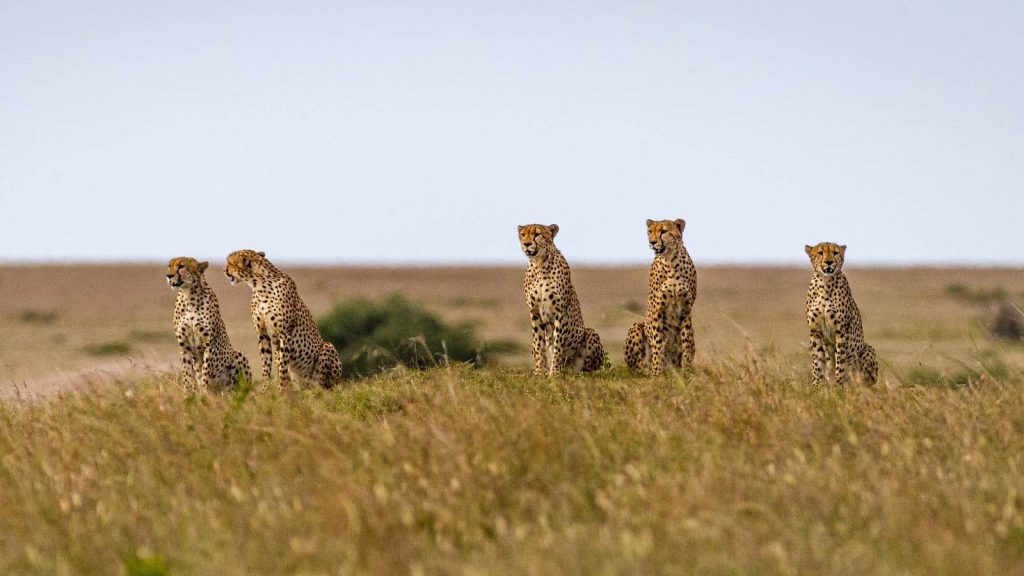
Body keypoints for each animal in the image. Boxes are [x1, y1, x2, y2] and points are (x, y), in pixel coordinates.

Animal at [166, 257, 252, 391]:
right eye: (169, 266)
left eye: (181, 266)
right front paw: (189, 394)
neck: (188, 296)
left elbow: (205, 374)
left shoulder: (209, 345)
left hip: (238, 356)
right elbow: (187, 374)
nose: (168, 276)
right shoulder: (184, 345)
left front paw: (205, 393)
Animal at [224, 250, 342, 389]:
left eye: (230, 263)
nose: (224, 270)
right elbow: (266, 364)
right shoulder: (262, 333)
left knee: (324, 386)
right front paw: (266, 389)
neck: (259, 285)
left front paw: (281, 388)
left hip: (327, 349)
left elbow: (282, 365)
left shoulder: (284, 333)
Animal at [518, 224, 604, 376]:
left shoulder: (559, 313)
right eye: (523, 234)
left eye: (537, 234)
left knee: (586, 369)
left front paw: (554, 374)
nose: (526, 244)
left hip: (590, 334)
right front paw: (539, 373)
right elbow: (539, 345)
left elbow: (557, 345)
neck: (539, 264)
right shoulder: (534, 313)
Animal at [624, 219, 697, 376]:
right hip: (636, 327)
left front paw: (687, 371)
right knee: (638, 366)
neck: (671, 261)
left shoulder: (686, 309)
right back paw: (649, 370)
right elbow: (657, 344)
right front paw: (657, 373)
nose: (652, 242)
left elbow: (686, 342)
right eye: (650, 231)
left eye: (664, 231)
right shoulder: (658, 309)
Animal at [804, 242, 878, 385]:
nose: (829, 262)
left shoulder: (841, 331)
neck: (825, 283)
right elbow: (816, 361)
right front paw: (816, 385)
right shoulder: (815, 330)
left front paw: (838, 385)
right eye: (820, 253)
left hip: (867, 350)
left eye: (835, 253)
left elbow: (840, 361)